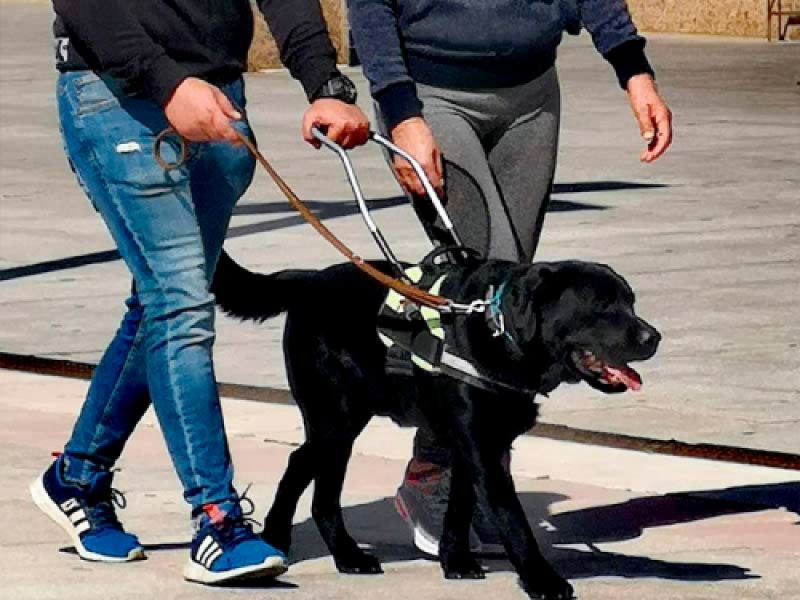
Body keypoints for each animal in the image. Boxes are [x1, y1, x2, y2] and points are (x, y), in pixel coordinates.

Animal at [209, 246, 660, 596]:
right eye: (602, 307)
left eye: (632, 302)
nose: (653, 337)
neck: (497, 328)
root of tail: (309, 280)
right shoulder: (483, 452)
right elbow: (513, 520)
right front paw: (541, 580)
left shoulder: (472, 446)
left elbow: (459, 508)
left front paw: (455, 561)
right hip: (335, 420)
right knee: (311, 479)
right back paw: (311, 547)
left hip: (339, 423)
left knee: (308, 476)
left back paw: (310, 546)